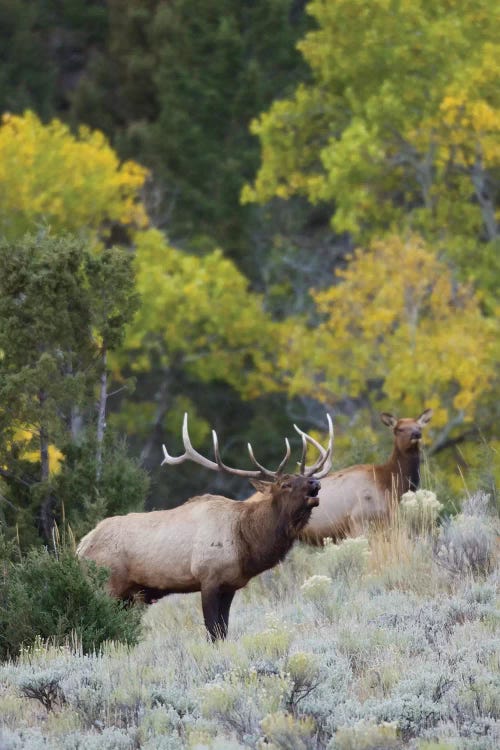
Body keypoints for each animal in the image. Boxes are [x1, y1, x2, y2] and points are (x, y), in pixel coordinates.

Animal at [76, 414, 332, 644]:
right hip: (107, 585)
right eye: (285, 484)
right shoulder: (208, 577)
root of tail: (81, 546)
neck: (245, 543)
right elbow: (212, 631)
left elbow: (224, 631)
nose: (315, 483)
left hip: (127, 595)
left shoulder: (230, 585)